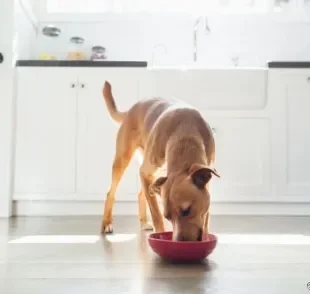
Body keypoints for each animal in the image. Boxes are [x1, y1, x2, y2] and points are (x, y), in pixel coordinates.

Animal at [100, 81, 219, 241]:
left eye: (186, 210)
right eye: (168, 217)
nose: (178, 243)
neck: (185, 135)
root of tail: (131, 109)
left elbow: (206, 216)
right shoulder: (146, 174)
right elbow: (156, 214)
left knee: (141, 194)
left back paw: (144, 222)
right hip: (123, 160)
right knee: (111, 193)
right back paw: (106, 223)